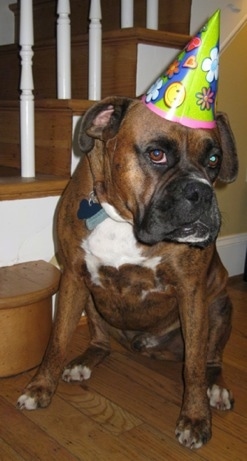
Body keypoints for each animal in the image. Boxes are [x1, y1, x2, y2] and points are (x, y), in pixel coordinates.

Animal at [16, 95, 237, 448]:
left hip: (219, 305)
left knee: (211, 359)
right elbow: (58, 340)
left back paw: (215, 388)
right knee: (100, 342)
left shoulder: (191, 291)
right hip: (90, 300)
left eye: (214, 159)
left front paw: (195, 419)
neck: (122, 218)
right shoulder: (72, 278)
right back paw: (83, 363)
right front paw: (40, 388)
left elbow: (194, 367)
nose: (202, 192)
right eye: (157, 154)